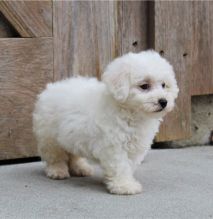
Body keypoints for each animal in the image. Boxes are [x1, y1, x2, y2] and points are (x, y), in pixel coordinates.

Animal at [32, 50, 178, 194]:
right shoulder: (114, 146)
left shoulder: (135, 148)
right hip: (49, 137)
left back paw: (80, 168)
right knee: (54, 156)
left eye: (164, 85)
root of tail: (50, 88)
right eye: (144, 86)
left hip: (71, 136)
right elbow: (121, 166)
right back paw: (57, 171)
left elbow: (129, 165)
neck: (131, 113)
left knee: (73, 154)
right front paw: (124, 186)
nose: (163, 101)